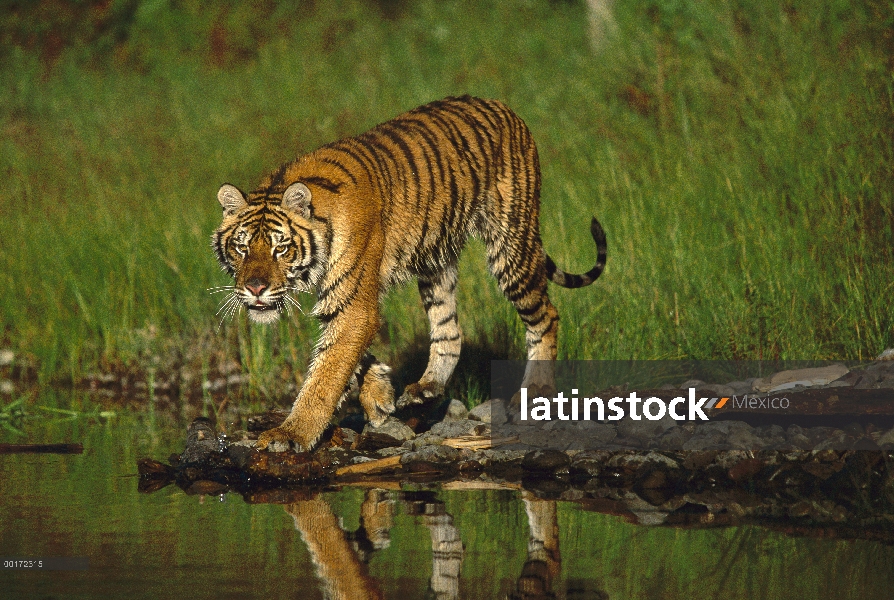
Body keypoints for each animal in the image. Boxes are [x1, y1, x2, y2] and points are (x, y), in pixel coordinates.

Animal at [213, 95, 604, 450]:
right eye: (242, 248)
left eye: (280, 248)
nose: (256, 288)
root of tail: (505, 108)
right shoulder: (350, 300)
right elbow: (345, 356)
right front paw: (379, 396)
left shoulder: (353, 301)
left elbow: (325, 375)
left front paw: (291, 433)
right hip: (436, 262)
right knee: (449, 330)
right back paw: (426, 388)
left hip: (510, 243)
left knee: (547, 315)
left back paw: (533, 393)